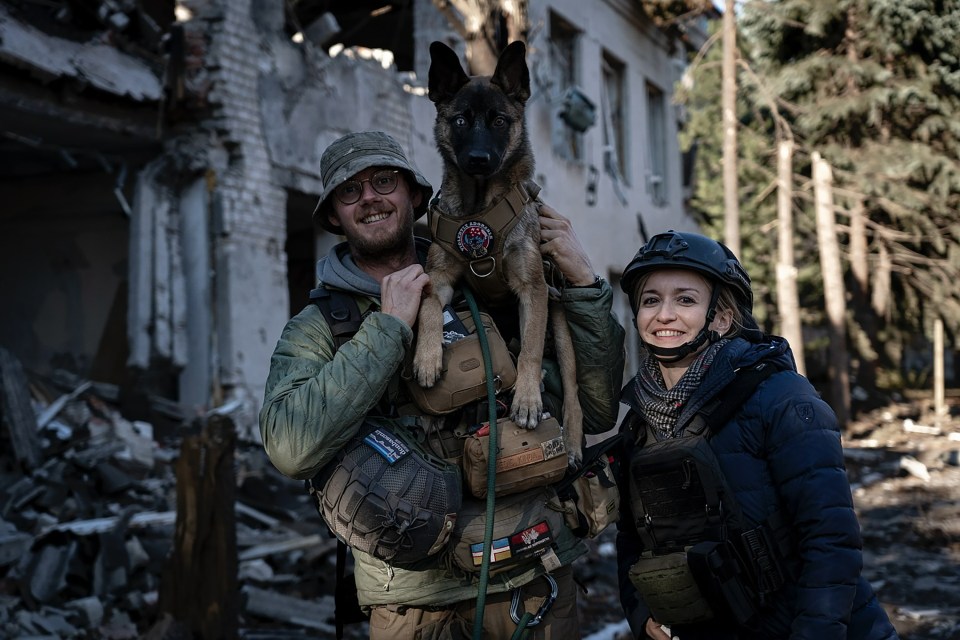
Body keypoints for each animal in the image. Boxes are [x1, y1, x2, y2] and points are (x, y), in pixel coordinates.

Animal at [408, 41, 580, 464]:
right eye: (460, 121)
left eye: (499, 121)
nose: (479, 160)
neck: (480, 206)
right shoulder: (438, 278)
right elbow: (430, 308)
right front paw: (427, 356)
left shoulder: (533, 290)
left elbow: (531, 351)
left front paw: (528, 401)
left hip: (558, 318)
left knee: (572, 390)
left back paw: (570, 440)